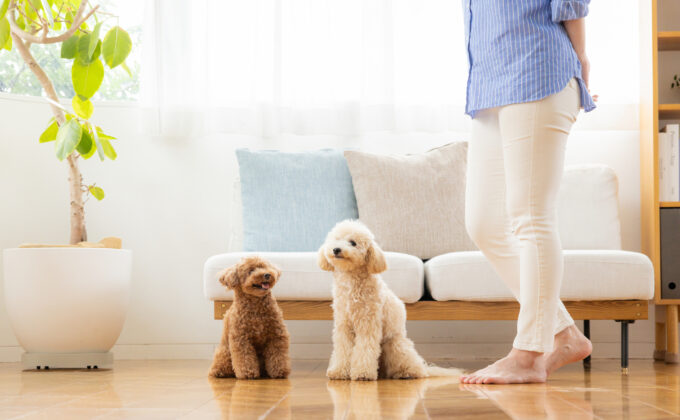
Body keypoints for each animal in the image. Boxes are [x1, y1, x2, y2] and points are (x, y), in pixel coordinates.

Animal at [318, 220, 461, 381]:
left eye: (353, 243)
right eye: (336, 239)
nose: (336, 249)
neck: (351, 281)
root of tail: (425, 368)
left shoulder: (368, 324)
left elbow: (364, 349)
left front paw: (363, 373)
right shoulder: (343, 326)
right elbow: (342, 350)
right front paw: (339, 371)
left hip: (394, 345)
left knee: (415, 369)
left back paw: (407, 373)